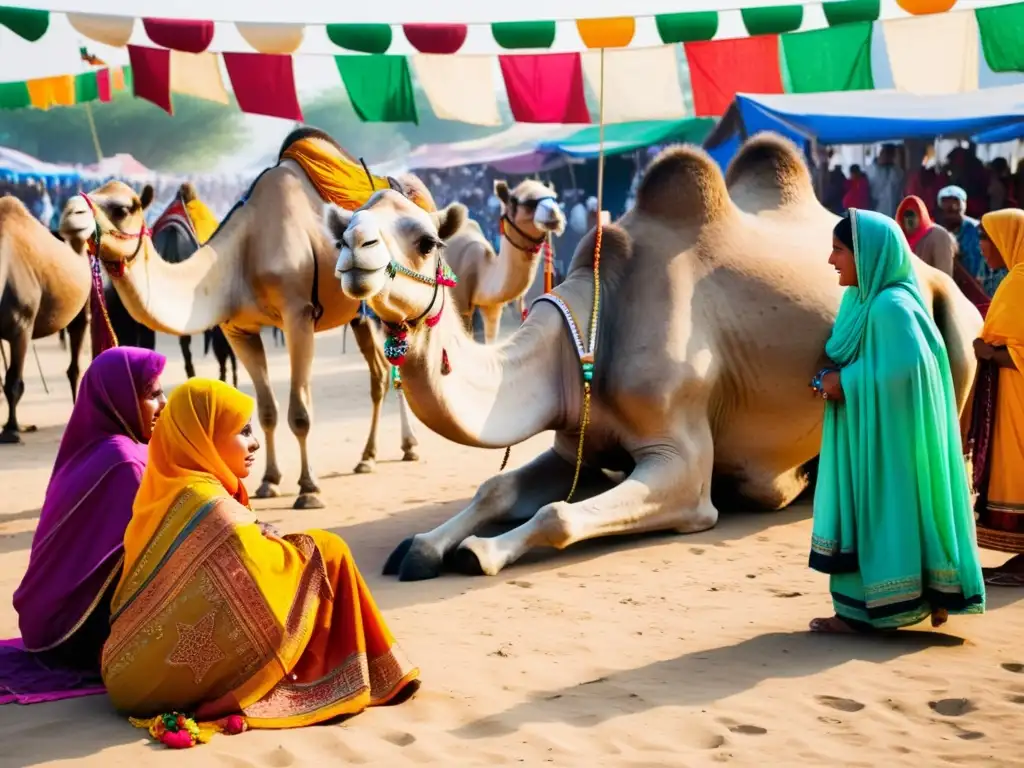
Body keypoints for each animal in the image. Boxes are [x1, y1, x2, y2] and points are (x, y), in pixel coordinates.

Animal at [59, 128, 421, 512]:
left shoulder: (298, 315)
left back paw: (409, 447)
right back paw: (368, 456)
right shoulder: (238, 329)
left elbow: (299, 413)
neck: (243, 255)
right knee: (378, 373)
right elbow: (266, 411)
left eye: (123, 208)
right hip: (358, 315)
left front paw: (308, 489)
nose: (69, 215)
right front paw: (269, 481)